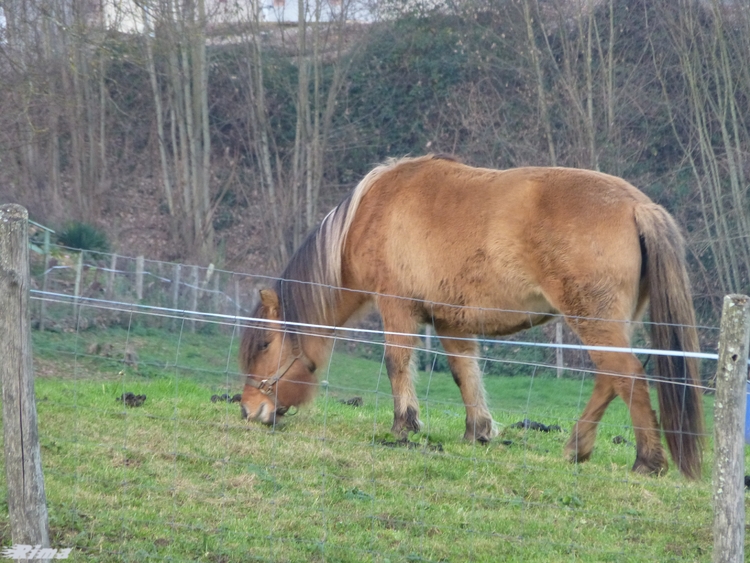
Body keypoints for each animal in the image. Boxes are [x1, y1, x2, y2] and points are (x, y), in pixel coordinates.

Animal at [239, 154, 704, 480]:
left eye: (264, 344)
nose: (249, 411)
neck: (370, 214)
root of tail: (637, 206)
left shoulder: (397, 307)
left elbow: (397, 363)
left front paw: (404, 426)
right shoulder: (451, 322)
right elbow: (465, 373)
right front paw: (477, 431)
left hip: (593, 321)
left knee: (629, 377)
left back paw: (647, 460)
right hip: (607, 324)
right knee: (612, 377)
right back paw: (578, 447)